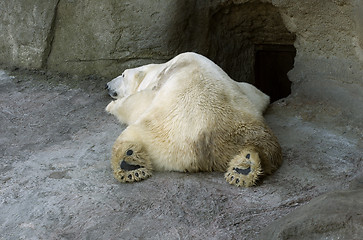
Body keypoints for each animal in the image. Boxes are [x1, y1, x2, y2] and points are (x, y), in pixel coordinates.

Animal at [105, 52, 282, 188]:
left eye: (123, 74)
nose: (107, 85)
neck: (163, 67)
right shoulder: (244, 90)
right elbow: (259, 94)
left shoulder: (157, 86)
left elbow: (135, 102)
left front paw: (112, 105)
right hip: (248, 129)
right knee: (265, 147)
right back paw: (245, 168)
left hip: (161, 136)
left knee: (130, 136)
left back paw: (130, 164)